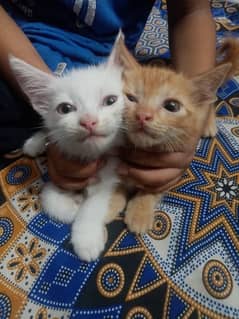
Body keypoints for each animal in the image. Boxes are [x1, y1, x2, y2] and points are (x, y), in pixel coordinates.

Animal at [9, 35, 124, 262]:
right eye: (65, 108)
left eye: (110, 100)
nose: (89, 121)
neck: (89, 155)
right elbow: (47, 196)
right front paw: (70, 208)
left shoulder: (113, 170)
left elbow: (96, 203)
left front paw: (86, 239)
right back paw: (35, 143)